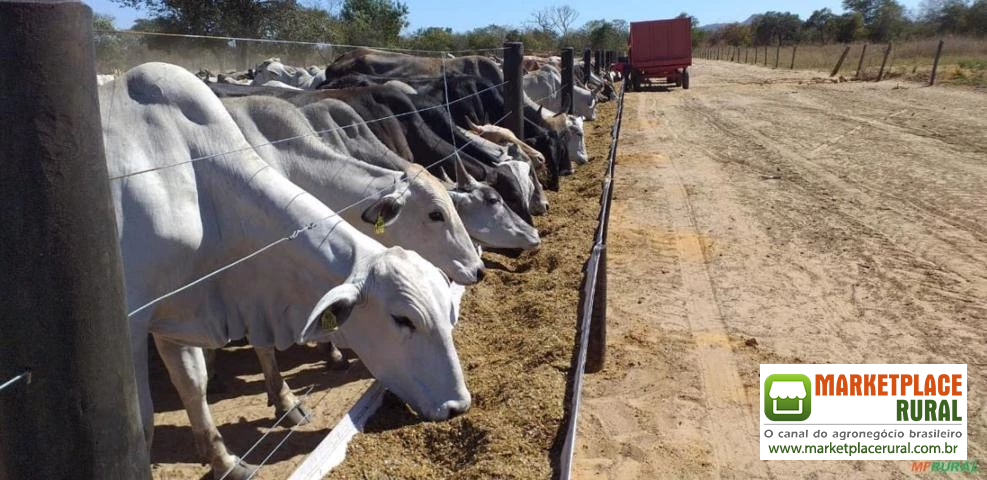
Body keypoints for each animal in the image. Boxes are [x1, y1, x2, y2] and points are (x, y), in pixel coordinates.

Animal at [100, 63, 470, 480]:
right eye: (403, 319)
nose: (458, 406)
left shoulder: (184, 308)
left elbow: (195, 385)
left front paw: (225, 459)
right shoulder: (136, 322)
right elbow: (144, 423)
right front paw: (287, 399)